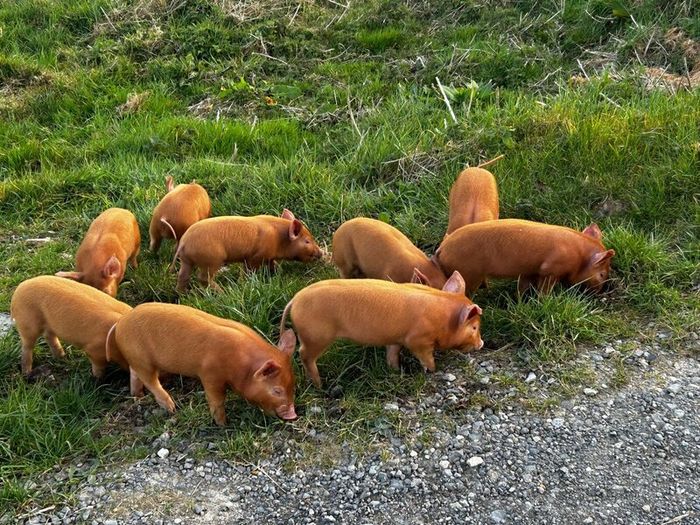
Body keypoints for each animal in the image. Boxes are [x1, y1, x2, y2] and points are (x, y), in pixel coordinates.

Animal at [105, 303, 297, 426]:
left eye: (292, 386)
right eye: (277, 390)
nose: (293, 414)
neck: (243, 366)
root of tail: (121, 322)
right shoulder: (209, 374)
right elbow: (216, 400)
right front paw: (223, 424)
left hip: (137, 358)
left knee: (134, 373)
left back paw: (138, 396)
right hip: (142, 359)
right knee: (151, 381)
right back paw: (172, 408)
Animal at [173, 209, 323, 292]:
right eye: (307, 241)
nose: (321, 253)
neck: (278, 239)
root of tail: (184, 242)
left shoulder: (268, 257)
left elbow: (271, 265)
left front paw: (275, 273)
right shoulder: (254, 257)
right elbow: (248, 272)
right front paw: (244, 283)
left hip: (187, 261)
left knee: (183, 276)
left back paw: (183, 295)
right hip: (212, 260)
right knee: (203, 278)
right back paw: (223, 292)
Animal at [280, 271, 483, 388]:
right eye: (474, 327)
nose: (481, 343)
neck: (442, 317)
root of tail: (295, 300)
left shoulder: (396, 339)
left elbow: (392, 355)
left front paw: (396, 372)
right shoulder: (418, 340)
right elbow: (427, 358)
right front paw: (433, 371)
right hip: (316, 336)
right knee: (304, 354)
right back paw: (320, 385)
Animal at [434, 219, 615, 295]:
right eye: (602, 274)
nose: (599, 292)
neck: (579, 257)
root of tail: (442, 248)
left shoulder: (529, 271)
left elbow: (523, 287)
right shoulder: (550, 270)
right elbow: (544, 290)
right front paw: (545, 300)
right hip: (468, 273)